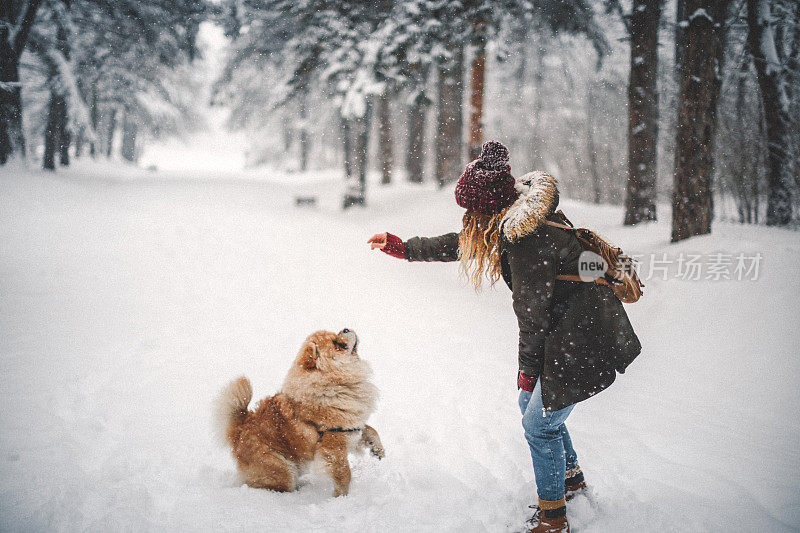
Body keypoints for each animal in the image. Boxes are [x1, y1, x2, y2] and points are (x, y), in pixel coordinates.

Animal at [216, 326, 384, 496]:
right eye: (336, 343)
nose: (346, 328)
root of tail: (240, 430)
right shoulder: (334, 443)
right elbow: (344, 473)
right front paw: (341, 496)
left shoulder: (351, 427)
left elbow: (370, 430)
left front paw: (378, 450)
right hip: (282, 469)